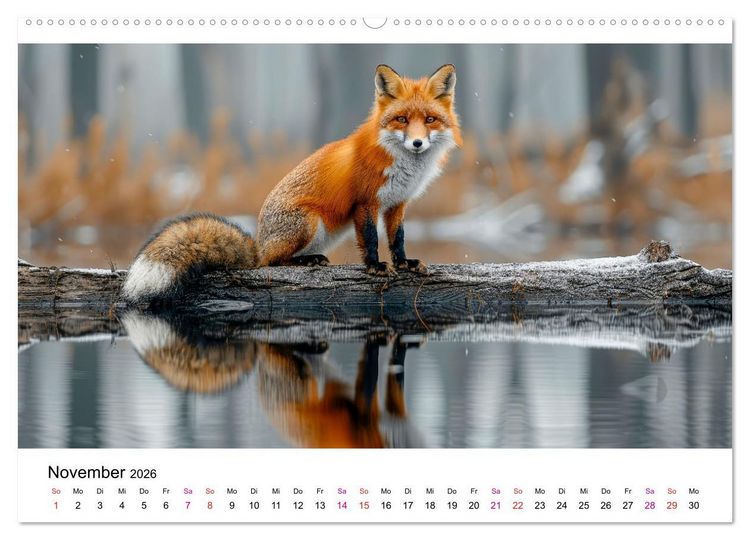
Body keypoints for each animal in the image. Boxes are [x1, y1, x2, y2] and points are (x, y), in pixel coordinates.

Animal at [122, 64, 461, 303]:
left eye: (429, 120)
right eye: (402, 119)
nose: (417, 143)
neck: (402, 165)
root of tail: (258, 244)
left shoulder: (396, 203)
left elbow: (397, 238)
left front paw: (404, 263)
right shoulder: (365, 202)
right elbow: (370, 240)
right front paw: (376, 267)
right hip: (308, 222)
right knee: (273, 264)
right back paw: (303, 261)